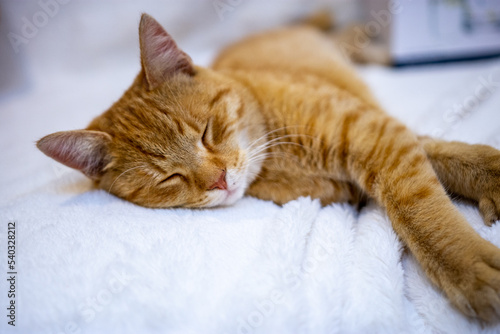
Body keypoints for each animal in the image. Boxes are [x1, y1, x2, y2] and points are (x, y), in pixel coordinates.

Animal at [37, 14, 500, 322]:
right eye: (168, 179)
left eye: (206, 132)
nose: (219, 180)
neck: (280, 157)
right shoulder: (376, 153)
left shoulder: (376, 133)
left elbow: (423, 204)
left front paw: (468, 265)